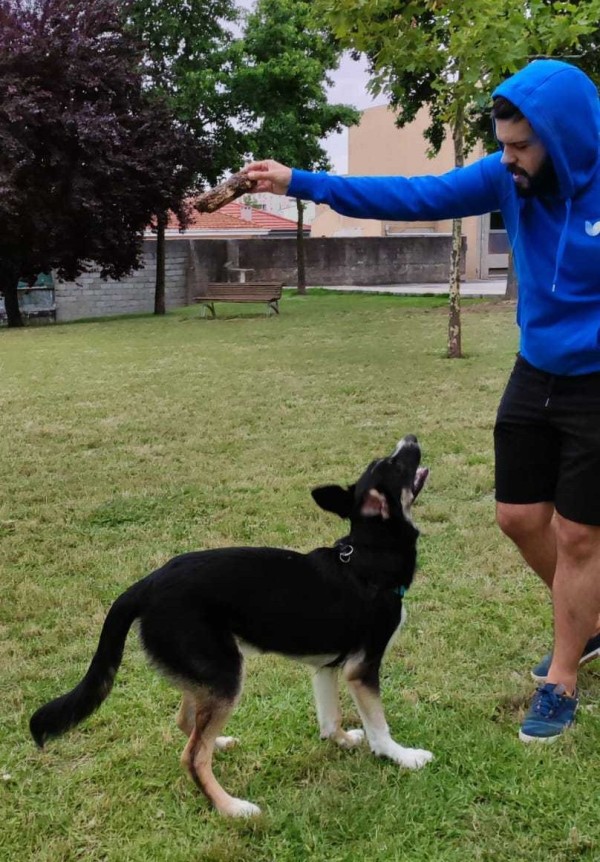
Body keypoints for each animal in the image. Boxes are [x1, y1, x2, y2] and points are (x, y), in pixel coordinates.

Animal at [30, 436, 432, 820]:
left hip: (207, 674)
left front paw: (343, 740)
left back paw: (219, 745)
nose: (411, 437)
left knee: (188, 722)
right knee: (192, 756)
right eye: (395, 464)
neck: (367, 555)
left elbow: (329, 719)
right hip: (224, 673)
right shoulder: (361, 668)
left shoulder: (326, 667)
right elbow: (379, 727)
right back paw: (232, 809)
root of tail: (146, 585)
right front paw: (401, 756)